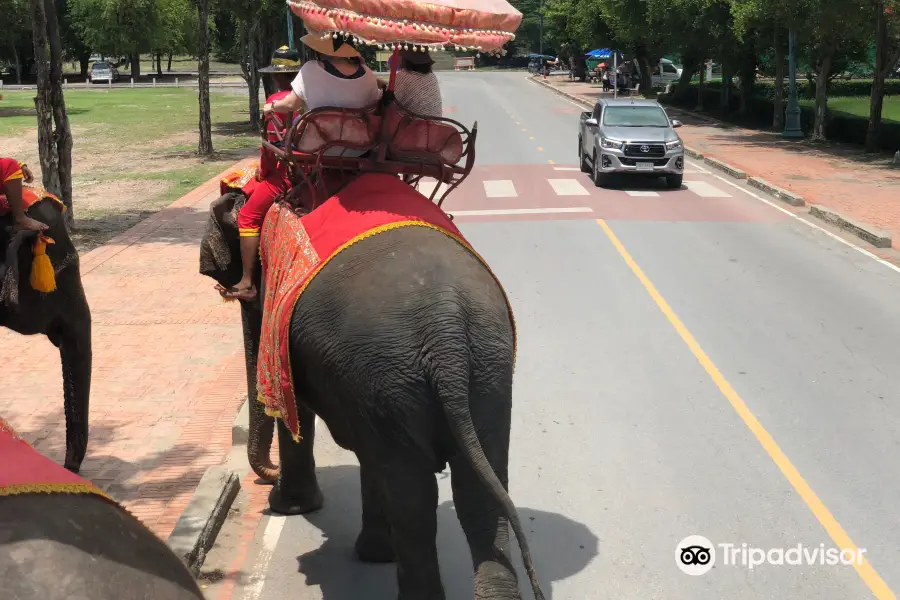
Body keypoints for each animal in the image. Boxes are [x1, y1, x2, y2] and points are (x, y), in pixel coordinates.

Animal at [200, 191, 544, 600]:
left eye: (245, 293)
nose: (269, 478)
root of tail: (446, 331)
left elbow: (297, 410)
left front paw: (289, 508)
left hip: (393, 369)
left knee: (412, 494)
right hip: (482, 367)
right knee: (476, 487)